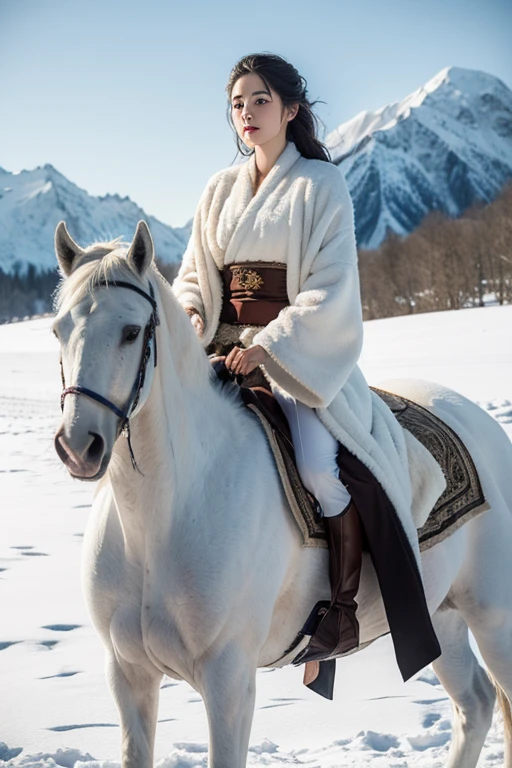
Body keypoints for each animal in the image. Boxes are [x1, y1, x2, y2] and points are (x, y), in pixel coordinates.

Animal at [52, 220, 512, 768]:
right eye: (58, 329)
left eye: (130, 331)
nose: (79, 445)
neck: (161, 518)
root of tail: (481, 423)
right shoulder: (128, 674)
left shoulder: (228, 680)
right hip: (440, 613)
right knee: (475, 704)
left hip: (494, 615)